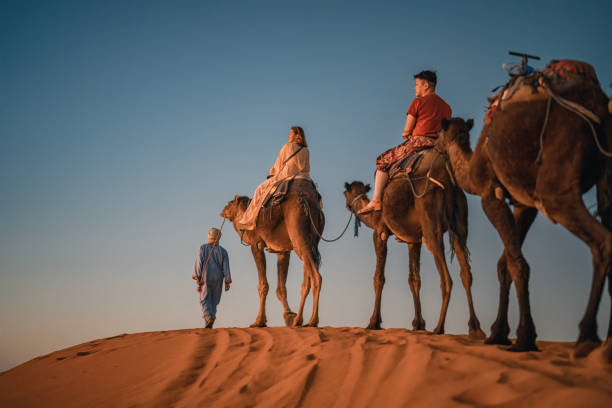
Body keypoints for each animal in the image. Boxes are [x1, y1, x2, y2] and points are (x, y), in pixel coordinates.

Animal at [220, 178, 326, 328]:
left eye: (229, 204)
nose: (222, 211)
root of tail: (310, 204)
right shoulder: (283, 250)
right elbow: (281, 288)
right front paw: (289, 315)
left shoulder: (256, 244)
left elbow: (263, 285)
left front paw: (259, 321)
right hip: (311, 241)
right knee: (306, 281)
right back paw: (299, 320)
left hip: (299, 237)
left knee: (316, 277)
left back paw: (312, 321)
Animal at [342, 150, 486, 338]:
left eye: (345, 193)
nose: (347, 205)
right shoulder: (413, 241)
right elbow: (414, 280)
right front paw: (418, 324)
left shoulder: (379, 232)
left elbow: (378, 277)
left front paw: (373, 322)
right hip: (460, 223)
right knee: (466, 272)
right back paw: (475, 327)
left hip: (431, 225)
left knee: (446, 277)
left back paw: (439, 328)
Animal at [438, 76, 612, 354]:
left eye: (439, 134)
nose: (433, 145)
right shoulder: (523, 204)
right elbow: (505, 263)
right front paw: (498, 333)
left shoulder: (490, 196)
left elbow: (517, 262)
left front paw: (523, 338)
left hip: (556, 190)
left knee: (602, 241)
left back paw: (587, 336)